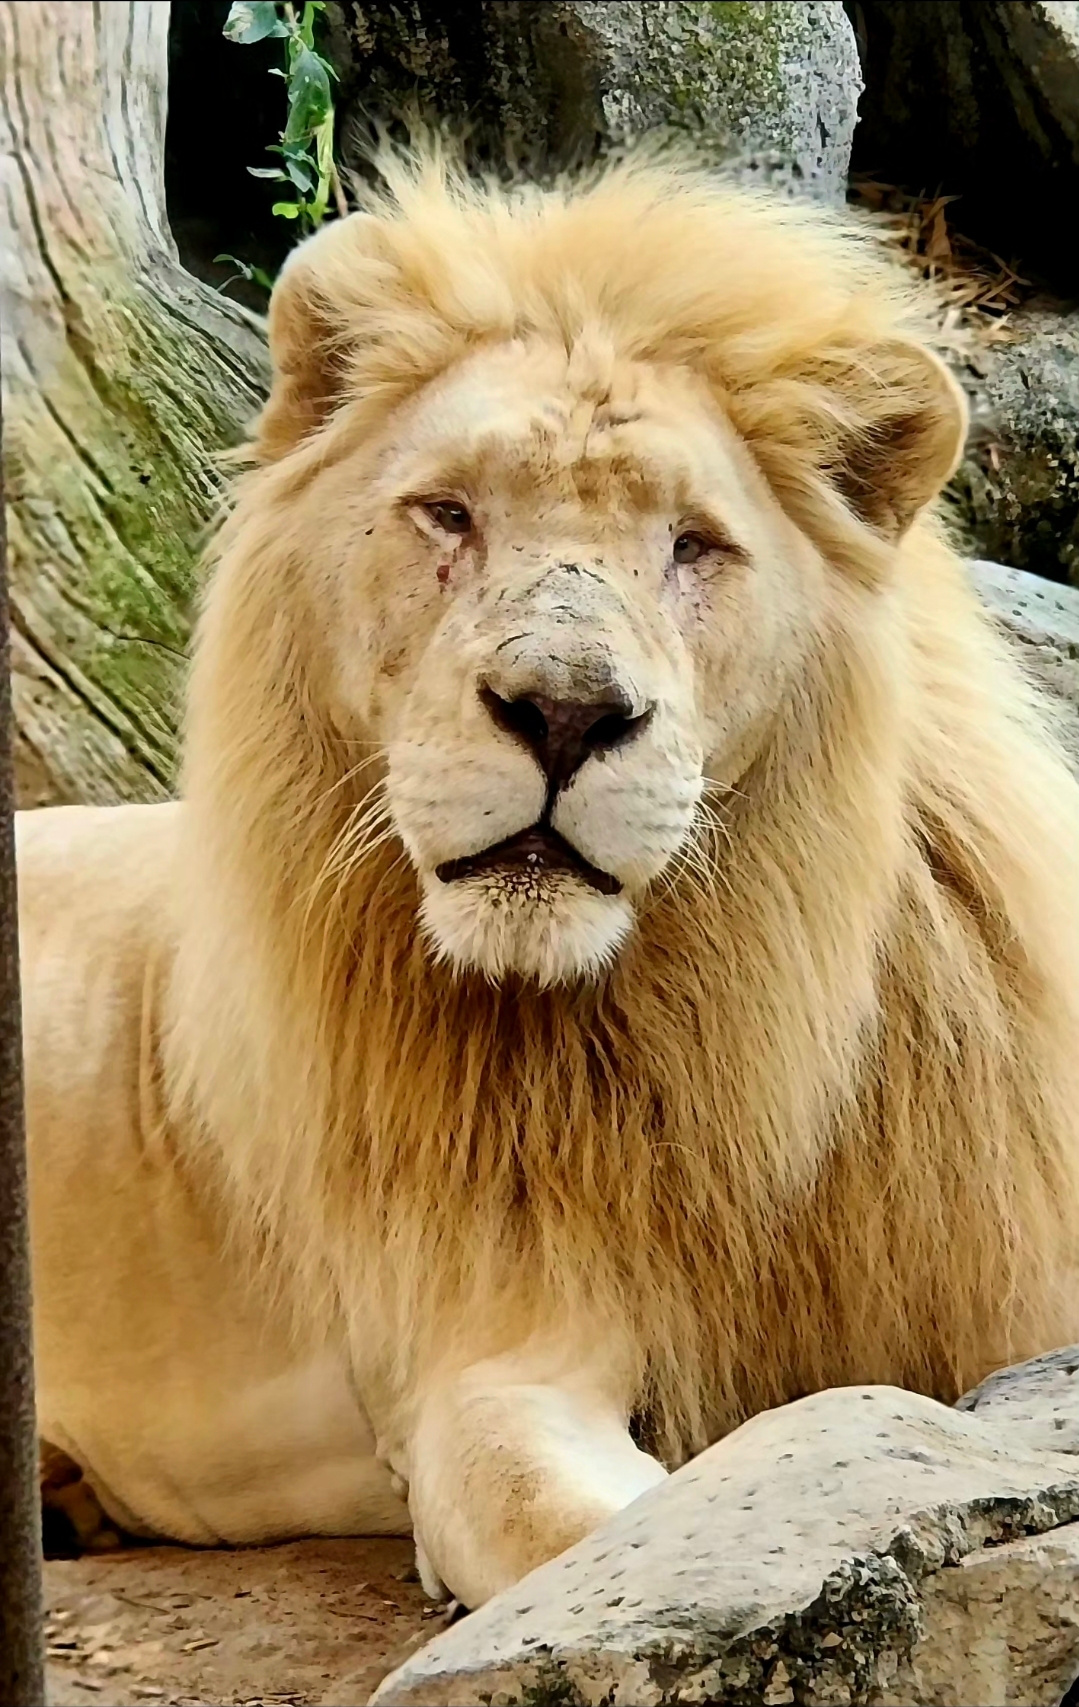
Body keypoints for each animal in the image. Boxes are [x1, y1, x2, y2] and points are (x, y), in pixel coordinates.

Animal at [19, 145, 1079, 1611]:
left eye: (693, 546)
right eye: (447, 513)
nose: (563, 712)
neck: (737, 1001)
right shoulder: (485, 1345)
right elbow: (603, 1531)